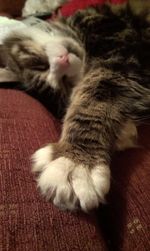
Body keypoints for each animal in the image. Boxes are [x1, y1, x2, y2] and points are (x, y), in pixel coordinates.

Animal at [2, 0, 150, 212]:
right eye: (65, 83)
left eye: (40, 64)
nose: (62, 63)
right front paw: (123, 133)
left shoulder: (121, 49)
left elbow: (94, 97)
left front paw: (75, 162)